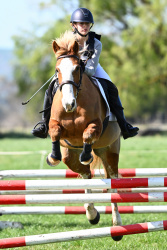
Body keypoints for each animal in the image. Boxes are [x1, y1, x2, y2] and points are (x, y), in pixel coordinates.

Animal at [47, 30, 122, 241]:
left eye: (77, 69)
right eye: (57, 70)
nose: (68, 104)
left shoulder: (95, 125)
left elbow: (88, 134)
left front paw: (87, 153)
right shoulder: (56, 125)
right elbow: (54, 131)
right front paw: (53, 156)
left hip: (110, 150)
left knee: (112, 181)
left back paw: (117, 226)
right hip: (70, 156)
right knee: (85, 174)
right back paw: (92, 214)